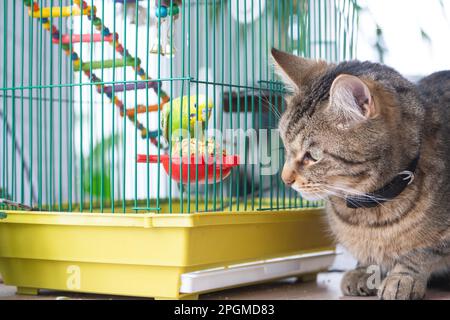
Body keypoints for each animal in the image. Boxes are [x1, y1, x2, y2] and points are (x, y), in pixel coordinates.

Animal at [270, 48, 450, 300]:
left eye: (312, 156)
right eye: (286, 147)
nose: (285, 179)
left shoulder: (440, 240)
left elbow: (421, 252)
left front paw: (402, 277)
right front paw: (364, 269)